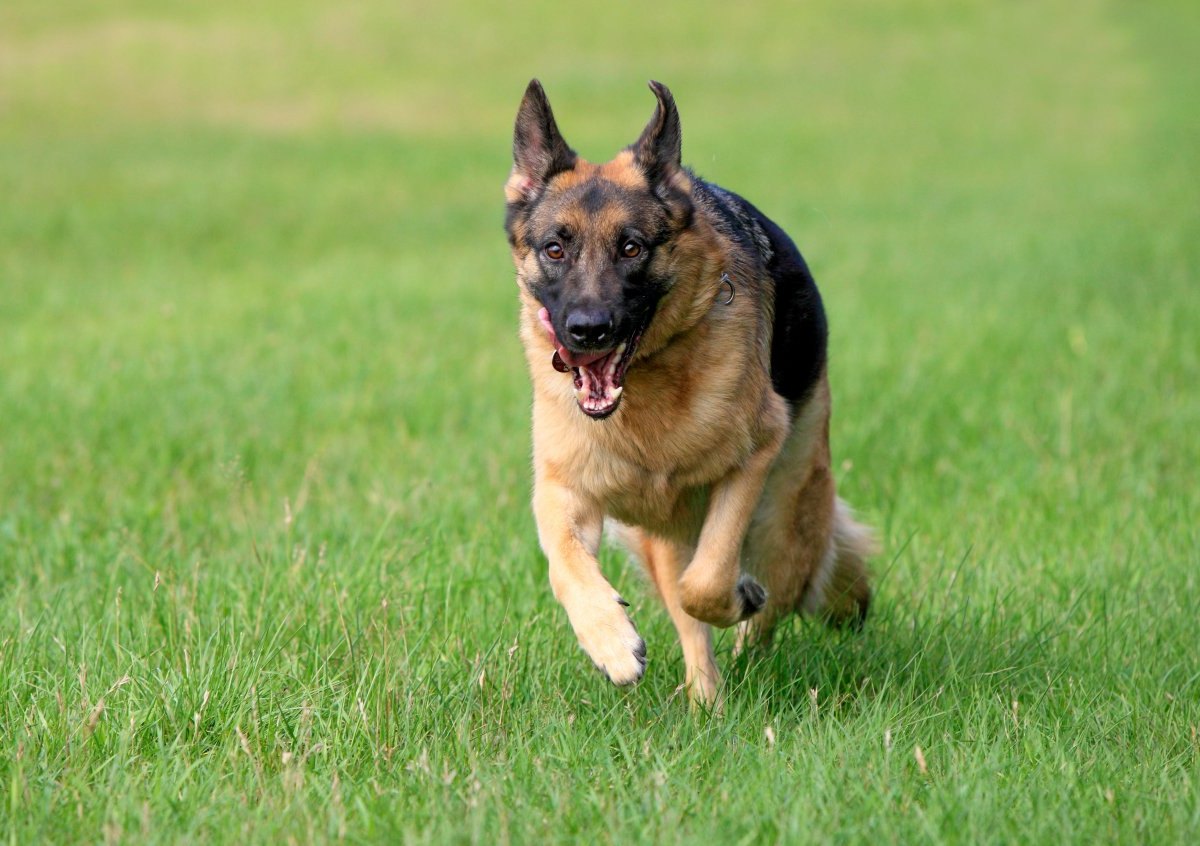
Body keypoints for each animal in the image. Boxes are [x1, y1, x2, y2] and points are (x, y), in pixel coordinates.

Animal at [499, 79, 873, 700]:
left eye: (631, 248)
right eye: (555, 248)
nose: (587, 331)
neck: (644, 397)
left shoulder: (751, 460)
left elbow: (710, 580)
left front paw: (737, 598)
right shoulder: (563, 490)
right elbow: (566, 567)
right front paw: (610, 641)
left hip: (783, 519)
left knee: (768, 599)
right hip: (664, 539)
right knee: (691, 620)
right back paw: (707, 700)